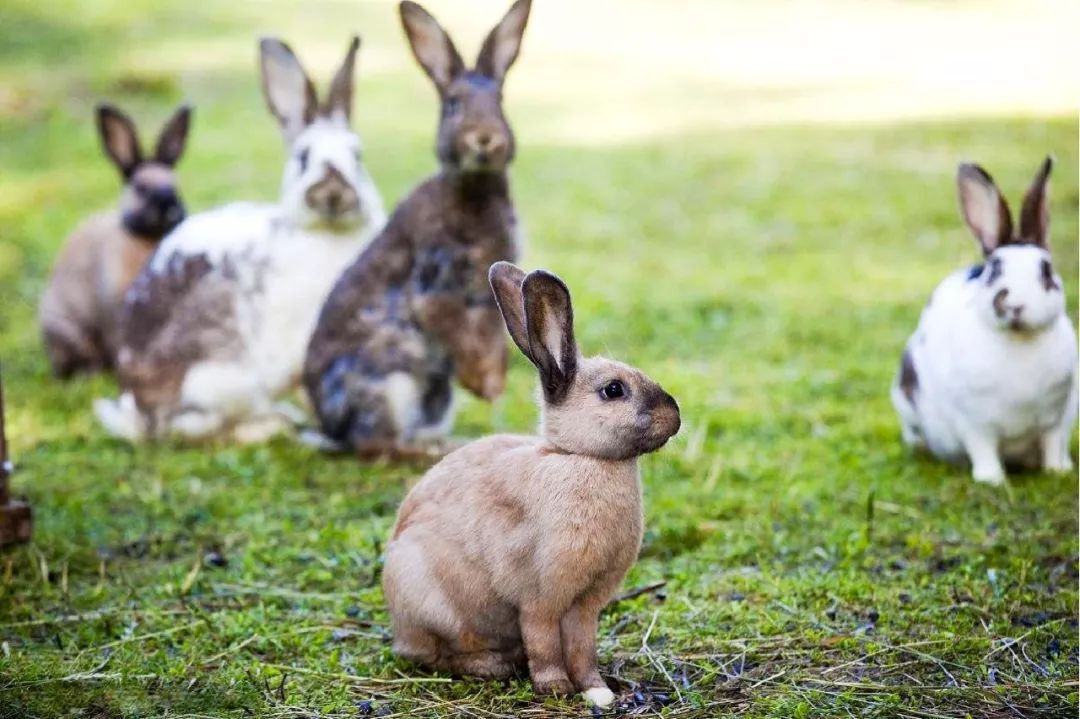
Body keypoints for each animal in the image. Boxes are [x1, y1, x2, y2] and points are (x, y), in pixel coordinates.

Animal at [95, 39, 386, 444]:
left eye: (358, 157)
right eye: (303, 158)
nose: (333, 193)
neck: (328, 234)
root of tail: (138, 412)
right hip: (217, 381)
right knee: (194, 428)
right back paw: (269, 425)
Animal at [302, 0, 529, 451]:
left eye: (500, 101)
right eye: (454, 104)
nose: (486, 139)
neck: (474, 189)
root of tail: (332, 429)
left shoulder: (490, 296)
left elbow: (493, 339)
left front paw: (492, 386)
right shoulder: (436, 285)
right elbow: (452, 328)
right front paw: (483, 386)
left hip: (434, 398)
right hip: (390, 385)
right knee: (380, 448)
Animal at [384, 260, 678, 703]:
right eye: (613, 390)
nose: (675, 415)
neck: (579, 458)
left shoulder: (586, 605)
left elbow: (582, 647)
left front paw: (597, 688)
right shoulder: (540, 597)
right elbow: (543, 643)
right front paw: (555, 687)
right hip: (432, 603)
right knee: (434, 654)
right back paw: (491, 665)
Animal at [889, 156, 1075, 481]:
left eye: (1046, 271)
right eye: (994, 270)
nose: (1015, 305)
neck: (1019, 340)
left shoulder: (1055, 419)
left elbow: (1053, 443)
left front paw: (1057, 471)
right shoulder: (974, 422)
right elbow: (983, 448)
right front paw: (992, 480)